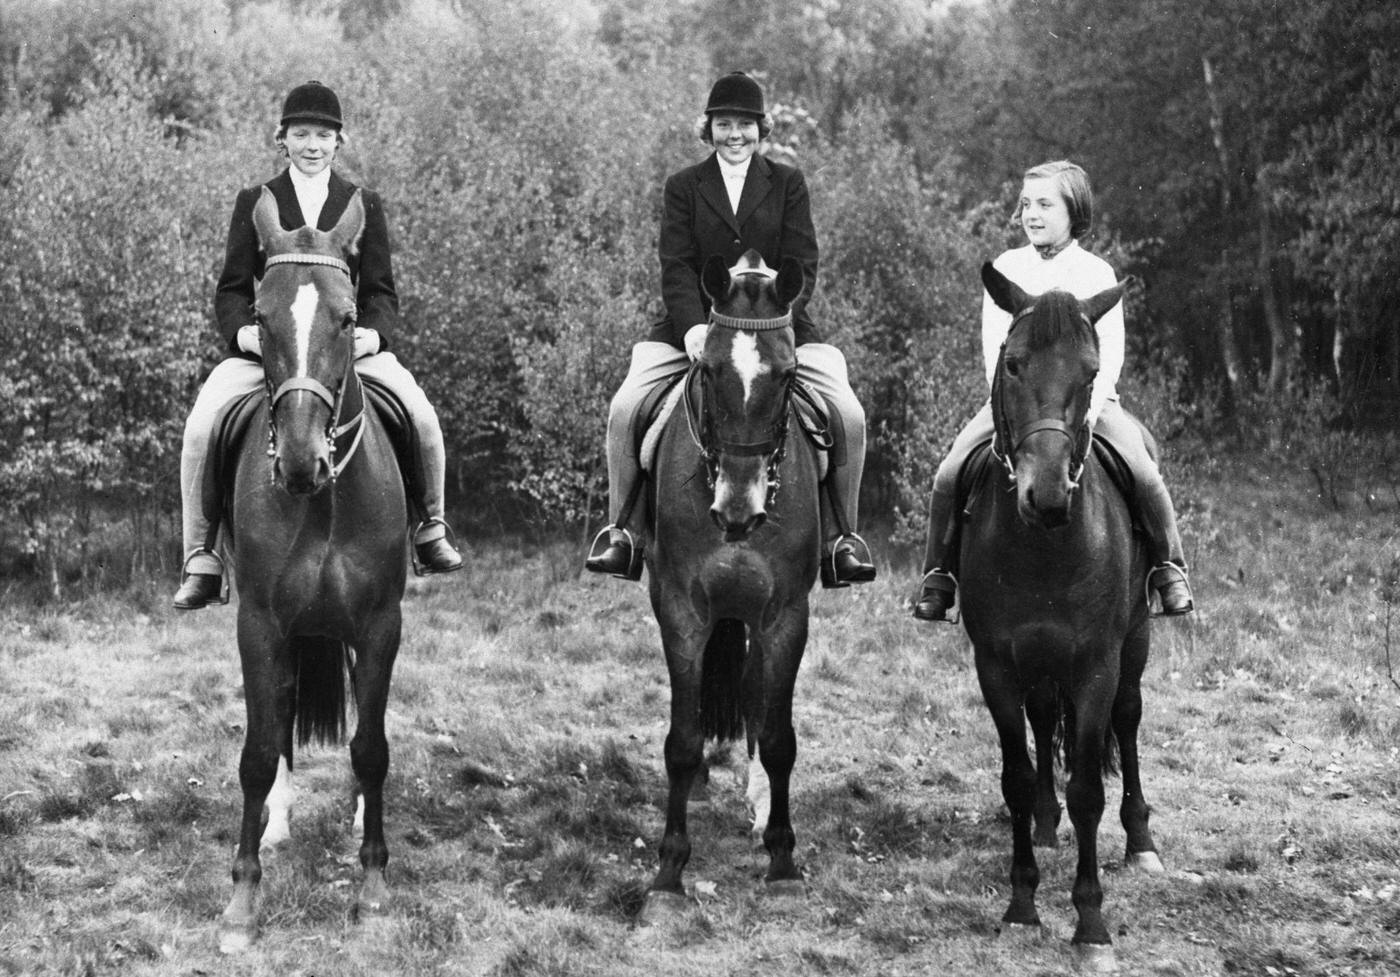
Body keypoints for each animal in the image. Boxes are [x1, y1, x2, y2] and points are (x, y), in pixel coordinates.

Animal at [215, 186, 408, 946]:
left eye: (350, 317)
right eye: (261, 318)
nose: (302, 462)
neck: (322, 503)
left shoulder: (381, 625)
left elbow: (371, 747)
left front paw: (374, 884)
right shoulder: (261, 627)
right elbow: (257, 750)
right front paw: (242, 900)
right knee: (284, 717)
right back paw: (277, 822)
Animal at [641, 249, 823, 912]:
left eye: (788, 375)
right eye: (710, 370)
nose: (737, 512)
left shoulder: (786, 617)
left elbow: (777, 736)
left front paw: (782, 858)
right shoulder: (681, 612)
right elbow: (682, 738)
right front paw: (669, 870)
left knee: (753, 696)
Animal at [957, 260, 1164, 968]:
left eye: (1092, 372)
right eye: (1013, 363)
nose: (1045, 497)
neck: (1045, 547)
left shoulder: (1096, 665)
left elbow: (1088, 789)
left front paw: (1091, 923)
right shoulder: (996, 665)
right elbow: (1018, 777)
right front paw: (1022, 904)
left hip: (1135, 644)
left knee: (1127, 722)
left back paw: (1142, 842)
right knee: (1046, 721)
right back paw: (1046, 828)